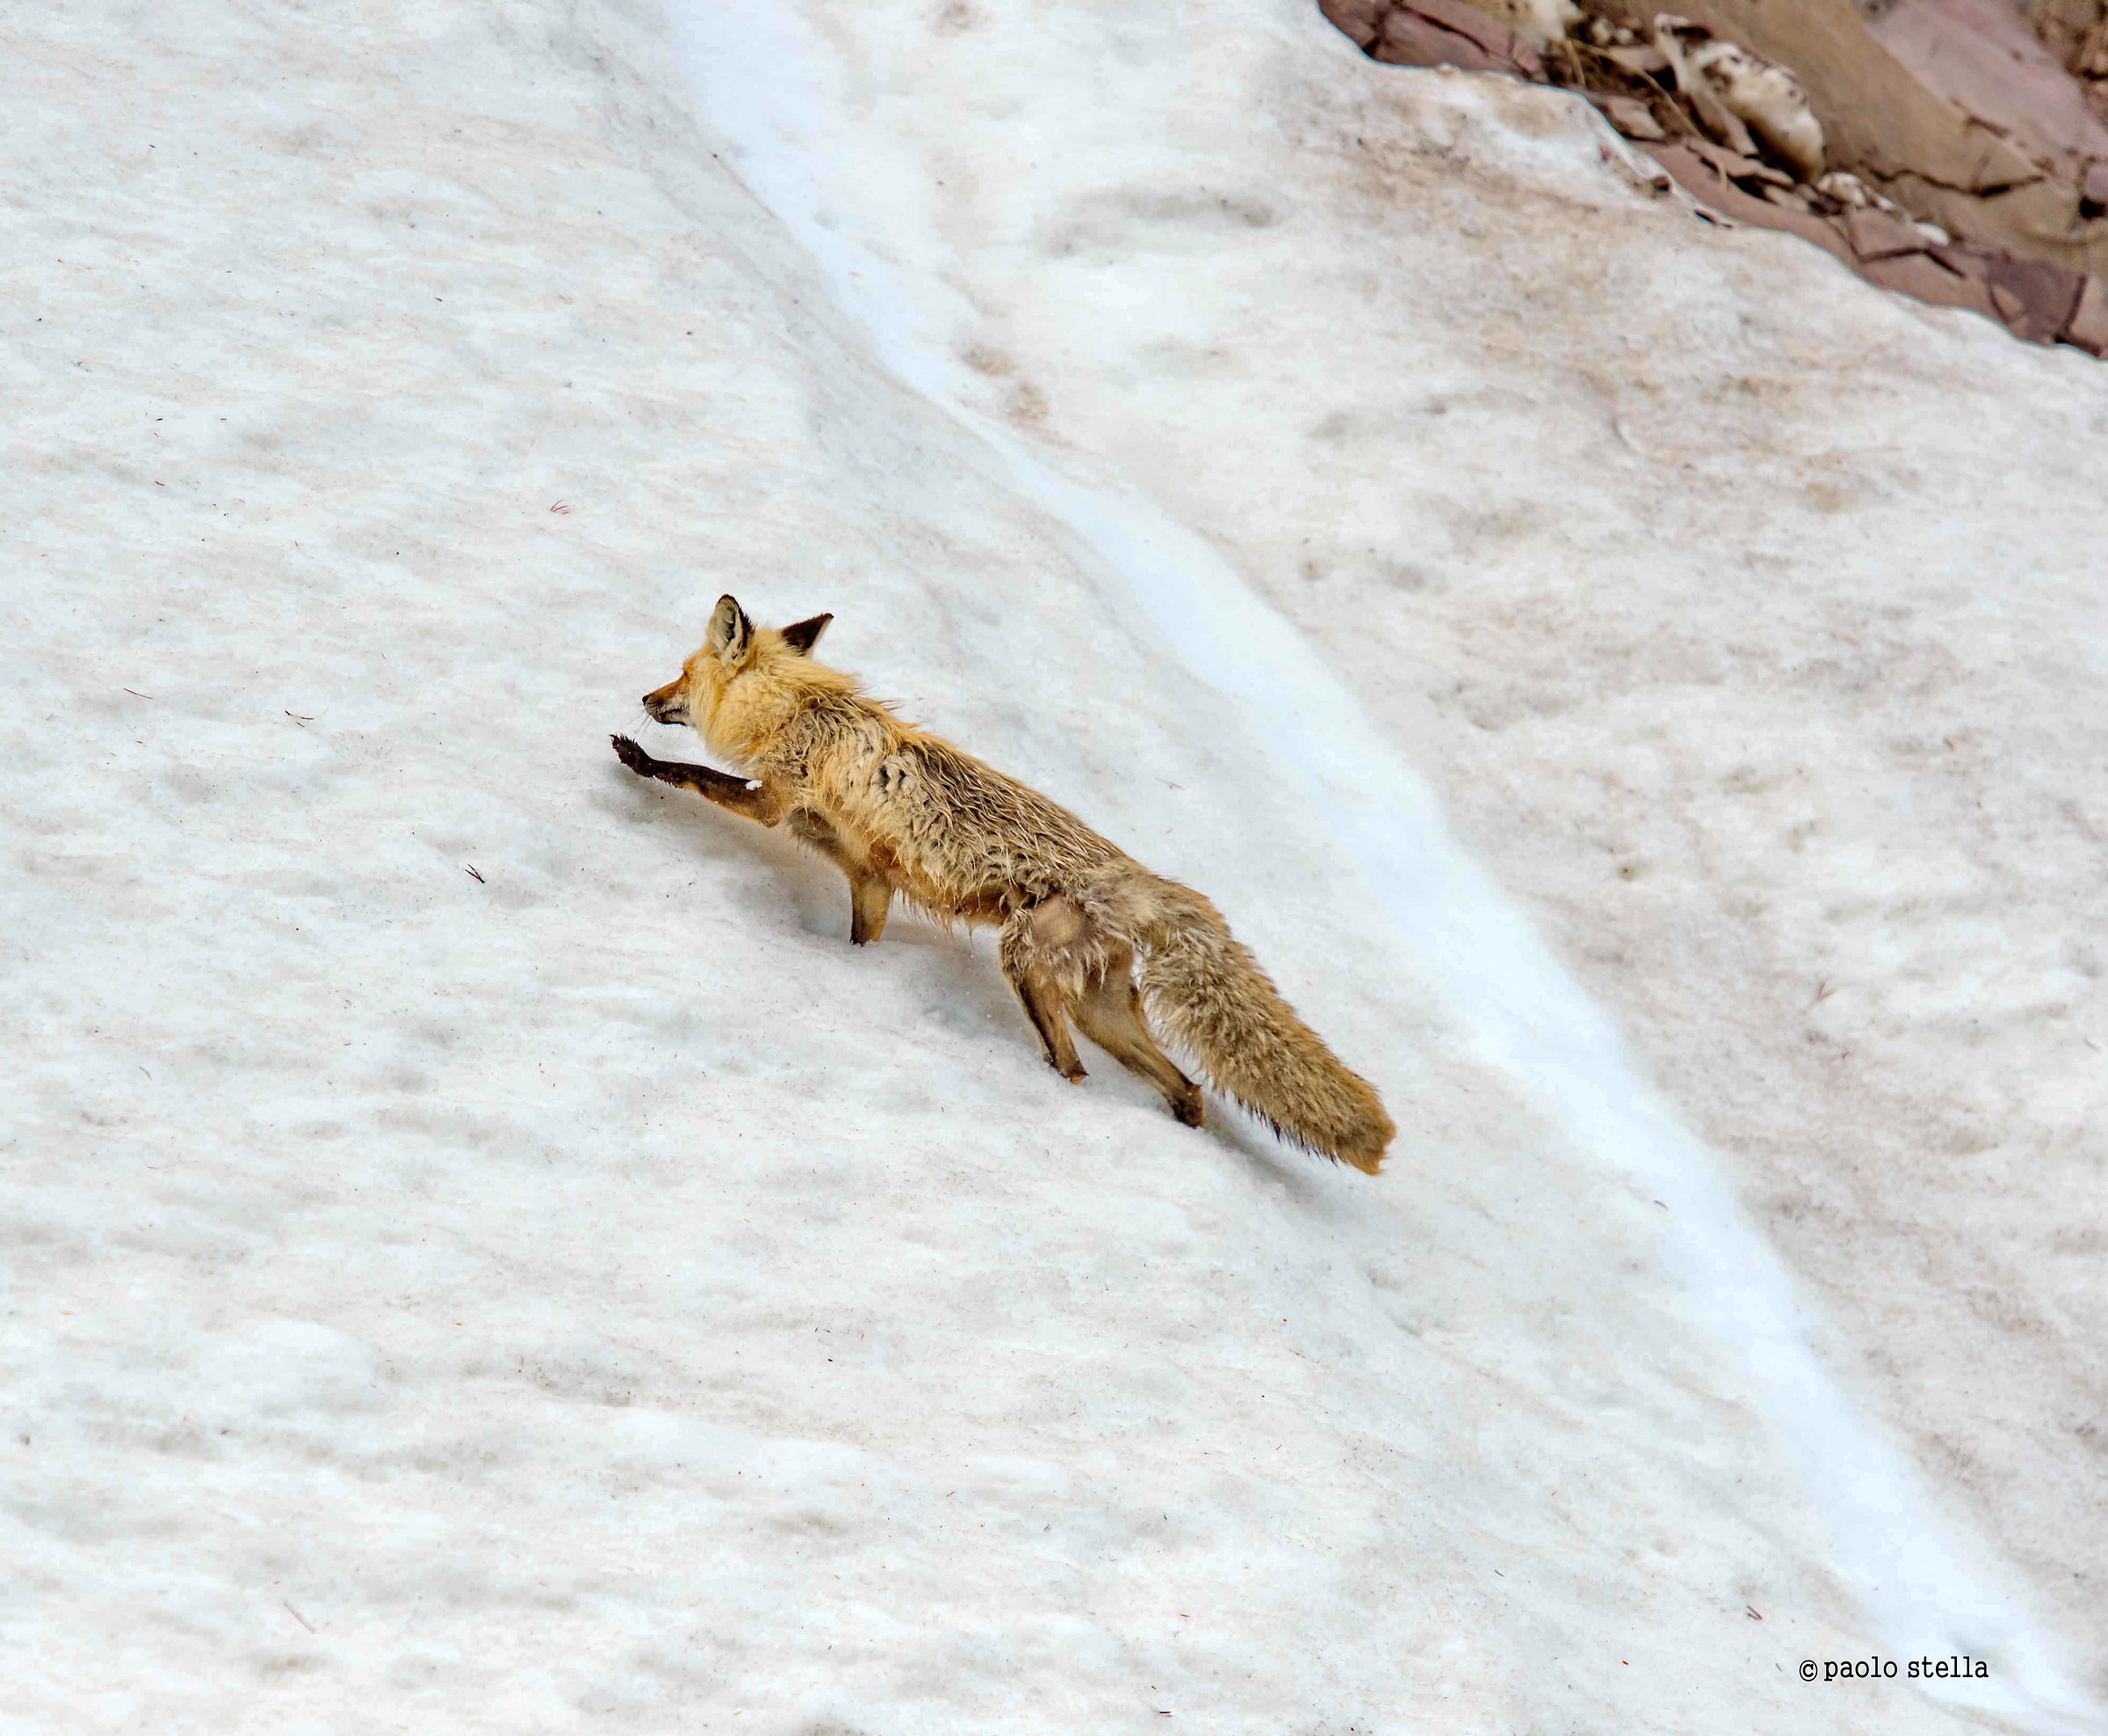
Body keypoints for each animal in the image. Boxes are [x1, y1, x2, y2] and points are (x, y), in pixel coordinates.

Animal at [610, 596, 1394, 1173]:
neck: (802, 711)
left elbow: (692, 773)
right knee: (1189, 1089)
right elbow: (861, 932)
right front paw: (854, 973)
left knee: (1074, 1068)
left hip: (1026, 967)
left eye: (681, 675)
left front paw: (640, 759)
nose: (646, 695)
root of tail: (1141, 880)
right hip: (1101, 1010)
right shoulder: (865, 870)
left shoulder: (774, 800)